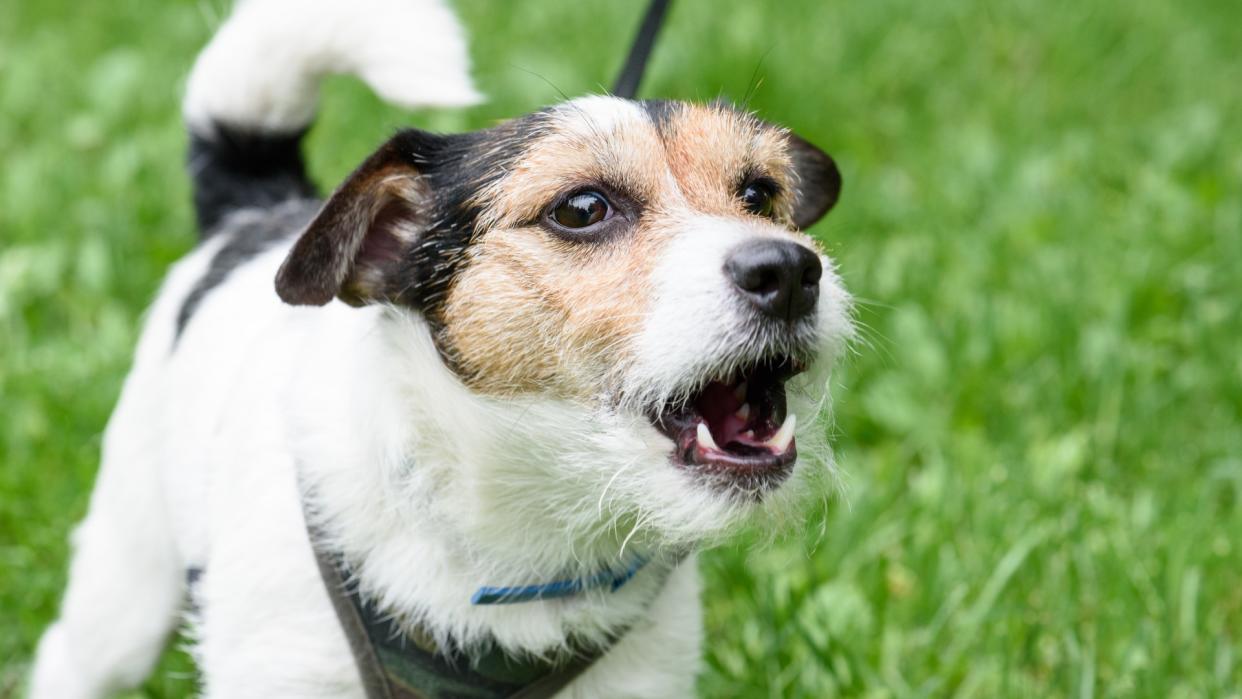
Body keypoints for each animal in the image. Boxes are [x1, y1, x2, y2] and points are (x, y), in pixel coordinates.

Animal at [29, 1, 849, 695]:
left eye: (760, 194)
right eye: (582, 208)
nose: (789, 272)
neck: (520, 539)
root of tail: (257, 209)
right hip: (126, 583)